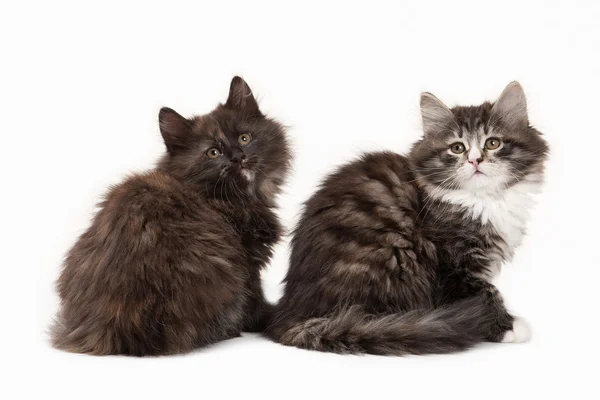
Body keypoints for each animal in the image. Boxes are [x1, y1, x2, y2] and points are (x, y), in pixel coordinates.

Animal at [51, 76, 290, 356]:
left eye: (244, 138)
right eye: (213, 153)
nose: (238, 158)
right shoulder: (247, 261)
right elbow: (255, 298)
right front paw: (270, 316)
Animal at [270, 82, 552, 356]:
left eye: (492, 143)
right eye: (457, 148)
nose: (475, 160)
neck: (482, 200)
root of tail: (290, 316)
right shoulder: (456, 266)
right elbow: (486, 294)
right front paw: (508, 327)